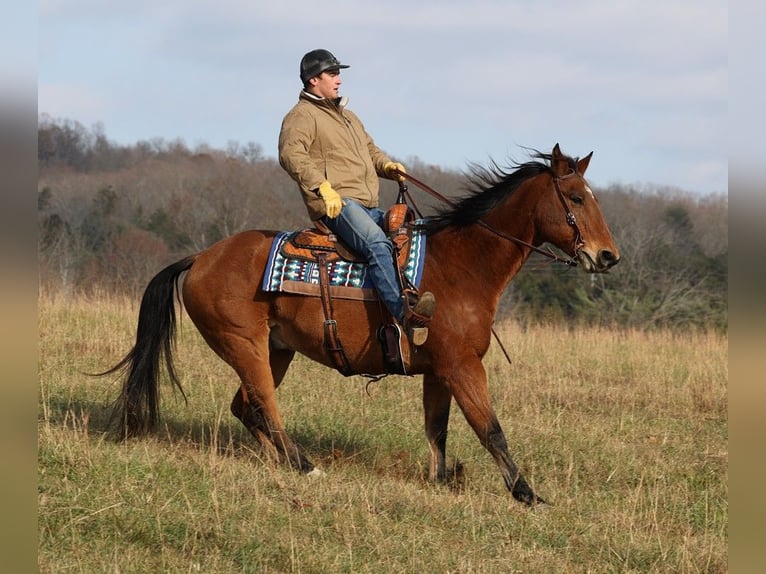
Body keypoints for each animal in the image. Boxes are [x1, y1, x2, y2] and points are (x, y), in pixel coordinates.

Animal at [105, 144, 620, 508]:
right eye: (576, 198)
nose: (608, 256)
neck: (463, 264)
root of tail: (200, 257)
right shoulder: (462, 367)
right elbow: (490, 428)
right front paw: (527, 494)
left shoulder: (439, 372)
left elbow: (438, 430)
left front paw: (440, 480)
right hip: (244, 345)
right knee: (265, 406)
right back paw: (303, 465)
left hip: (276, 350)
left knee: (247, 409)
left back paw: (277, 462)